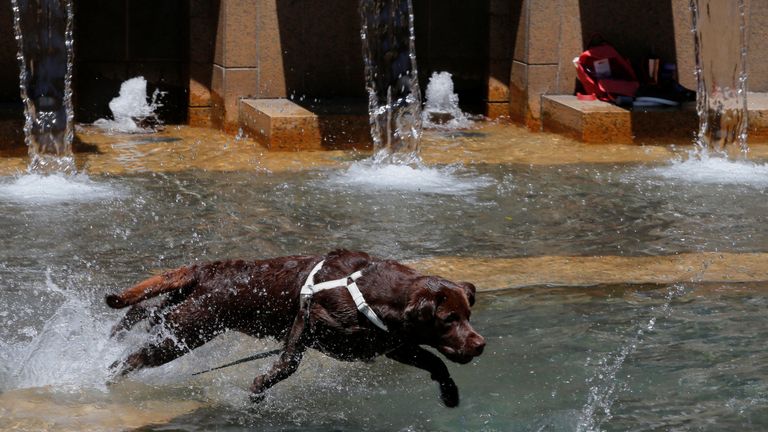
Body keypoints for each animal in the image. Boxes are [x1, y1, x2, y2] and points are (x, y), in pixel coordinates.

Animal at [105, 248, 484, 406]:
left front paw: (450, 394)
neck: (380, 295)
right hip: (186, 332)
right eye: (449, 319)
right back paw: (107, 379)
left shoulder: (391, 345)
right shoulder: (308, 321)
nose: (480, 344)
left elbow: (436, 362)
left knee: (140, 313)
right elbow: (288, 363)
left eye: (468, 314)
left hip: (174, 314)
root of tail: (208, 270)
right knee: (132, 358)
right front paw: (259, 387)